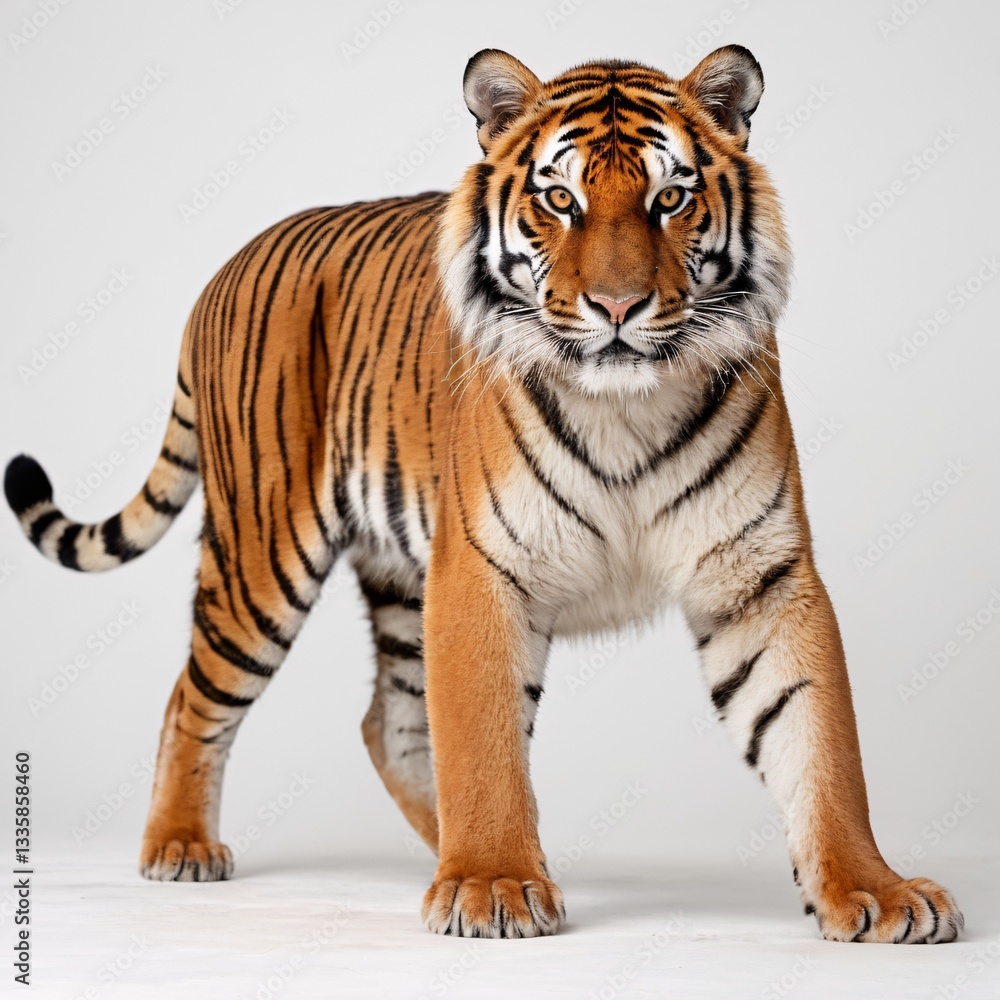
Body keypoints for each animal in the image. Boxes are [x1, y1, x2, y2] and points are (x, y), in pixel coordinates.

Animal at [5, 45, 963, 942]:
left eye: (669, 199)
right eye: (562, 200)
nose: (618, 306)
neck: (627, 408)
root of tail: (228, 266)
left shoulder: (761, 576)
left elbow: (821, 742)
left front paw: (874, 892)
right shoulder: (479, 569)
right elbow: (484, 739)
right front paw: (494, 884)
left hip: (396, 575)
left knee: (389, 725)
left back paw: (452, 850)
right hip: (262, 553)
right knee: (193, 695)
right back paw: (182, 846)